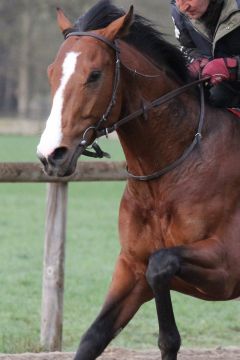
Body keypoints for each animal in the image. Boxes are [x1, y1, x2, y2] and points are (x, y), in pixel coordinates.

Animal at [36, 0, 240, 360]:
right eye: (51, 72)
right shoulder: (131, 267)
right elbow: (94, 337)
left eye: (94, 75)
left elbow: (161, 266)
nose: (52, 155)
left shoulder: (226, 267)